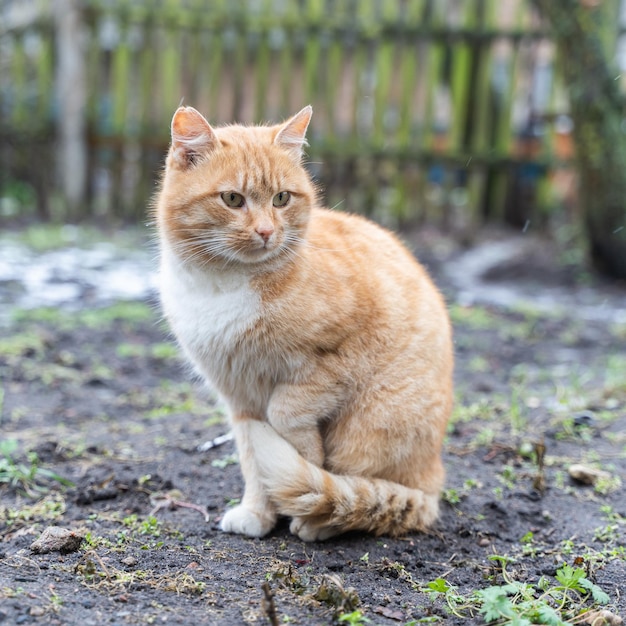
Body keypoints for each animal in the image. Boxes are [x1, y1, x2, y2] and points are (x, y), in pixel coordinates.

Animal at [154, 105, 450, 540]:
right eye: (232, 199)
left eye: (281, 199)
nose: (266, 231)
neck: (224, 284)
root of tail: (433, 485)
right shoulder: (240, 398)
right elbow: (253, 459)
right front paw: (259, 512)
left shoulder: (340, 359)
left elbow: (288, 420)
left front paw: (302, 474)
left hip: (368, 428)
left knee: (361, 492)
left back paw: (320, 519)